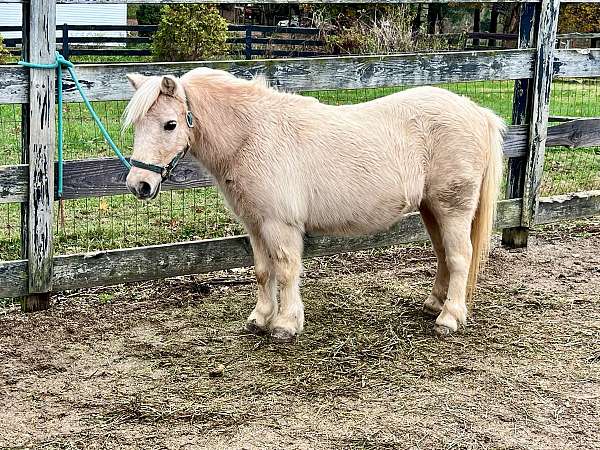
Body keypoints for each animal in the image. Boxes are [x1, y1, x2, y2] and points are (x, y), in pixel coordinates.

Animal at [124, 67, 504, 342]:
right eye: (138, 124)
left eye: (170, 124)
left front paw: (285, 324)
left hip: (452, 207)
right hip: (430, 209)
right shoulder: (255, 225)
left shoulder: (280, 225)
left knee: (459, 256)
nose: (139, 185)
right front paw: (260, 318)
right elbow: (263, 271)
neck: (252, 136)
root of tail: (476, 111)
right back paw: (433, 304)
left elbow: (286, 270)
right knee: (442, 254)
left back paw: (449, 318)